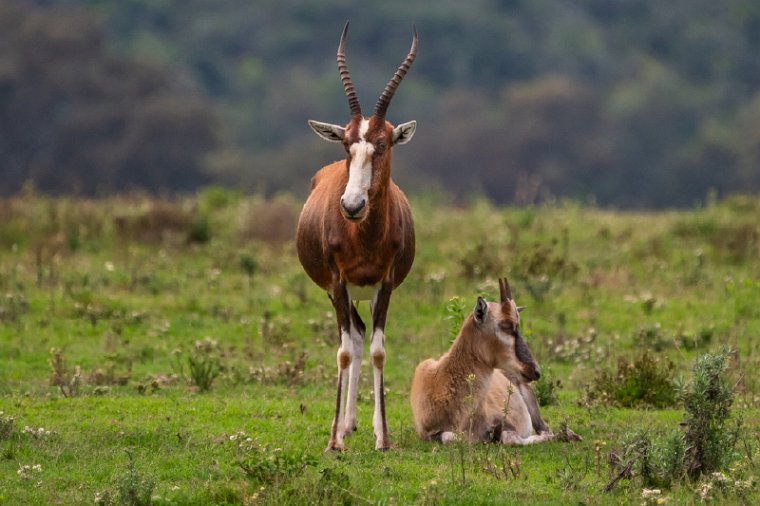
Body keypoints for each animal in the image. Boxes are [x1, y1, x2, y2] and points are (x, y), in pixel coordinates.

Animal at [296, 20, 416, 450]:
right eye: (347, 143)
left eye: (382, 143)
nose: (351, 205)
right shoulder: (337, 281)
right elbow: (343, 353)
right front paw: (333, 442)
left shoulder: (386, 283)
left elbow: (379, 351)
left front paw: (384, 438)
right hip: (340, 293)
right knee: (353, 339)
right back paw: (344, 427)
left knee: (363, 337)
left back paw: (353, 424)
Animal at [410, 278, 580, 444]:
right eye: (506, 325)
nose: (535, 371)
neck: (436, 382)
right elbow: (448, 437)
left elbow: (509, 438)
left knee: (546, 429)